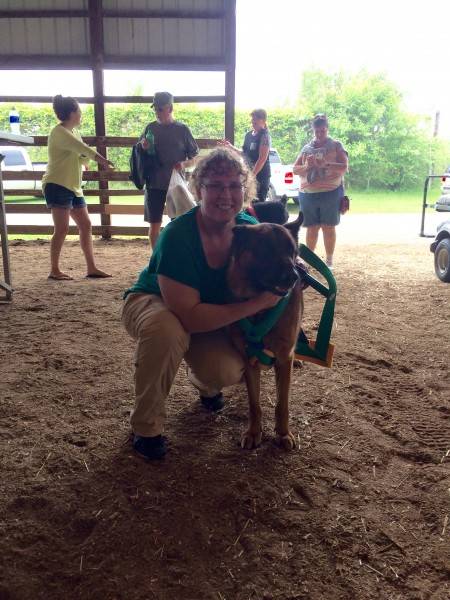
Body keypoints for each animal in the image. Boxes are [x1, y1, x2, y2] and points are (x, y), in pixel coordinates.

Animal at [227, 216, 304, 450]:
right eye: (267, 250)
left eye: (291, 250)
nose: (294, 276)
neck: (261, 311)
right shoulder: (249, 360)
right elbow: (255, 404)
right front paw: (254, 432)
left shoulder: (284, 359)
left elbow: (282, 403)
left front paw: (283, 433)